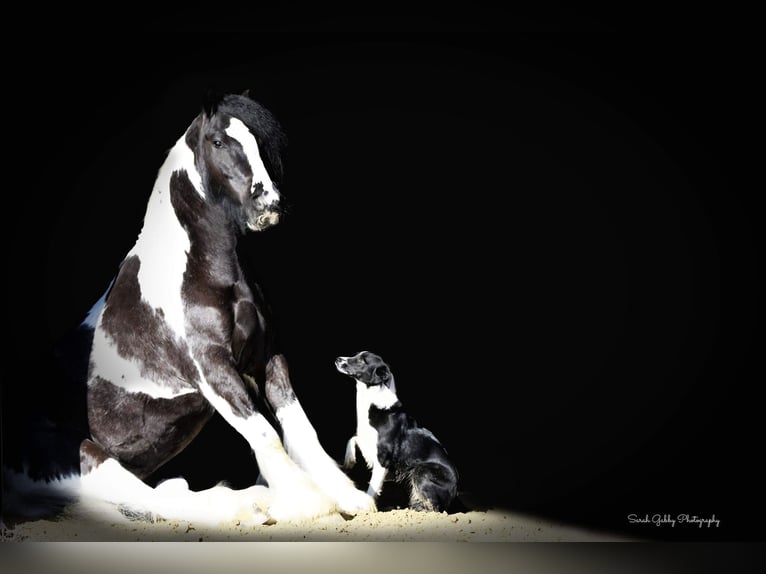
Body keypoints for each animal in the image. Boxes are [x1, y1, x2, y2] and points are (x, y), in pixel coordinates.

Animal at [3, 92, 376, 528]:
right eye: (218, 142)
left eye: (261, 142)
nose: (269, 204)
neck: (195, 271)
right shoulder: (212, 369)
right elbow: (265, 434)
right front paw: (308, 506)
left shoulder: (266, 358)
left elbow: (299, 428)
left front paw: (347, 498)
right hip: (87, 460)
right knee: (152, 503)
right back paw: (247, 506)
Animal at [334, 354, 456, 516]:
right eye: (357, 355)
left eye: (362, 361)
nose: (338, 359)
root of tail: (455, 491)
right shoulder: (366, 440)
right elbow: (353, 438)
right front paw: (349, 461)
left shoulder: (382, 460)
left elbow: (372, 488)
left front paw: (368, 508)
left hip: (422, 471)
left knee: (434, 508)